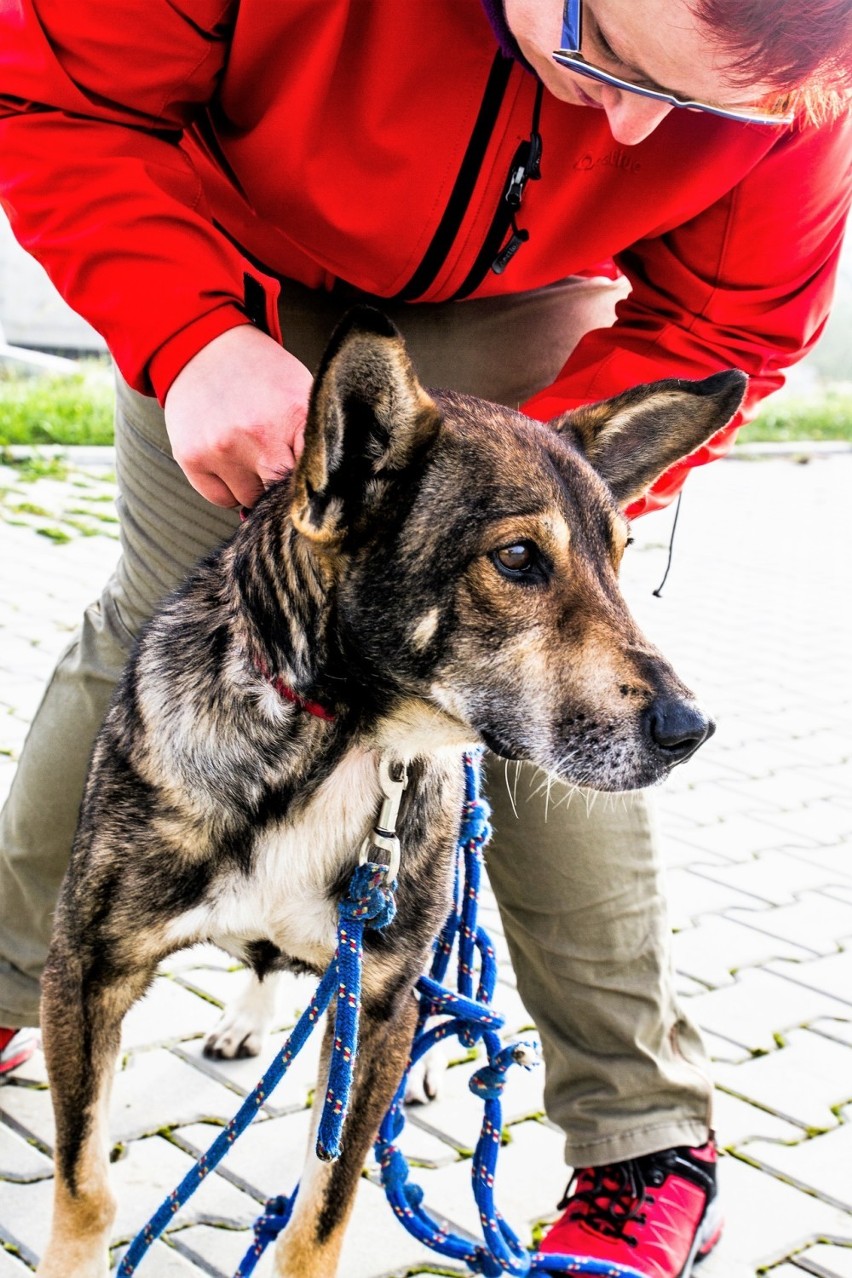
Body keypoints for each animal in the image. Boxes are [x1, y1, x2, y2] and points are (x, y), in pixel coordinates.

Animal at [38, 309, 745, 1278]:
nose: (691, 728)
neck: (345, 748)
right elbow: (85, 1189)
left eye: (623, 557)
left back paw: (428, 1063)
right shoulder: (88, 972)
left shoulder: (376, 1005)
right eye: (517, 558)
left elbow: (320, 1212)